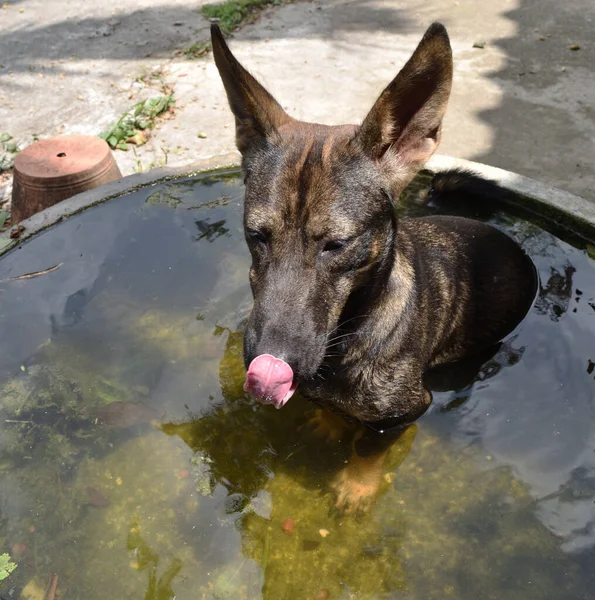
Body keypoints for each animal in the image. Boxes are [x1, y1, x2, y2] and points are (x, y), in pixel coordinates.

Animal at [212, 22, 536, 510]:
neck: (348, 334)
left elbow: (368, 445)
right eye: (257, 235)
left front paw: (357, 485)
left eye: (337, 245)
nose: (270, 364)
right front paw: (328, 421)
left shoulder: (406, 409)